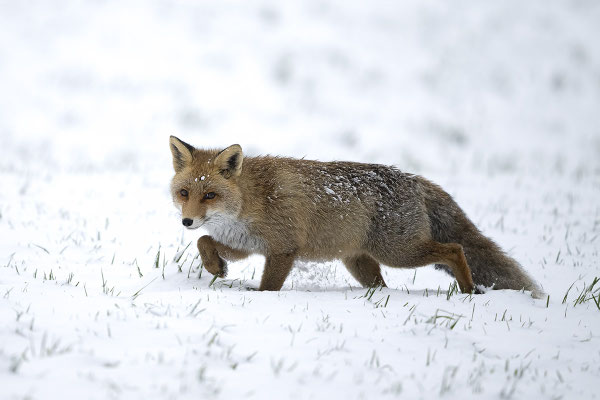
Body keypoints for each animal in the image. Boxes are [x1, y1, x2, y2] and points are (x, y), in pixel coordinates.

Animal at [169, 136, 543, 297]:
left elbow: (268, 288)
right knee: (384, 286)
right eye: (185, 193)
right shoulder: (246, 244)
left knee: (454, 249)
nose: (186, 221)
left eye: (210, 195)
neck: (250, 200)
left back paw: (468, 290)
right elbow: (205, 242)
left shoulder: (282, 249)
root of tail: (415, 179)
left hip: (398, 253)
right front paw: (216, 267)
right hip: (361, 264)